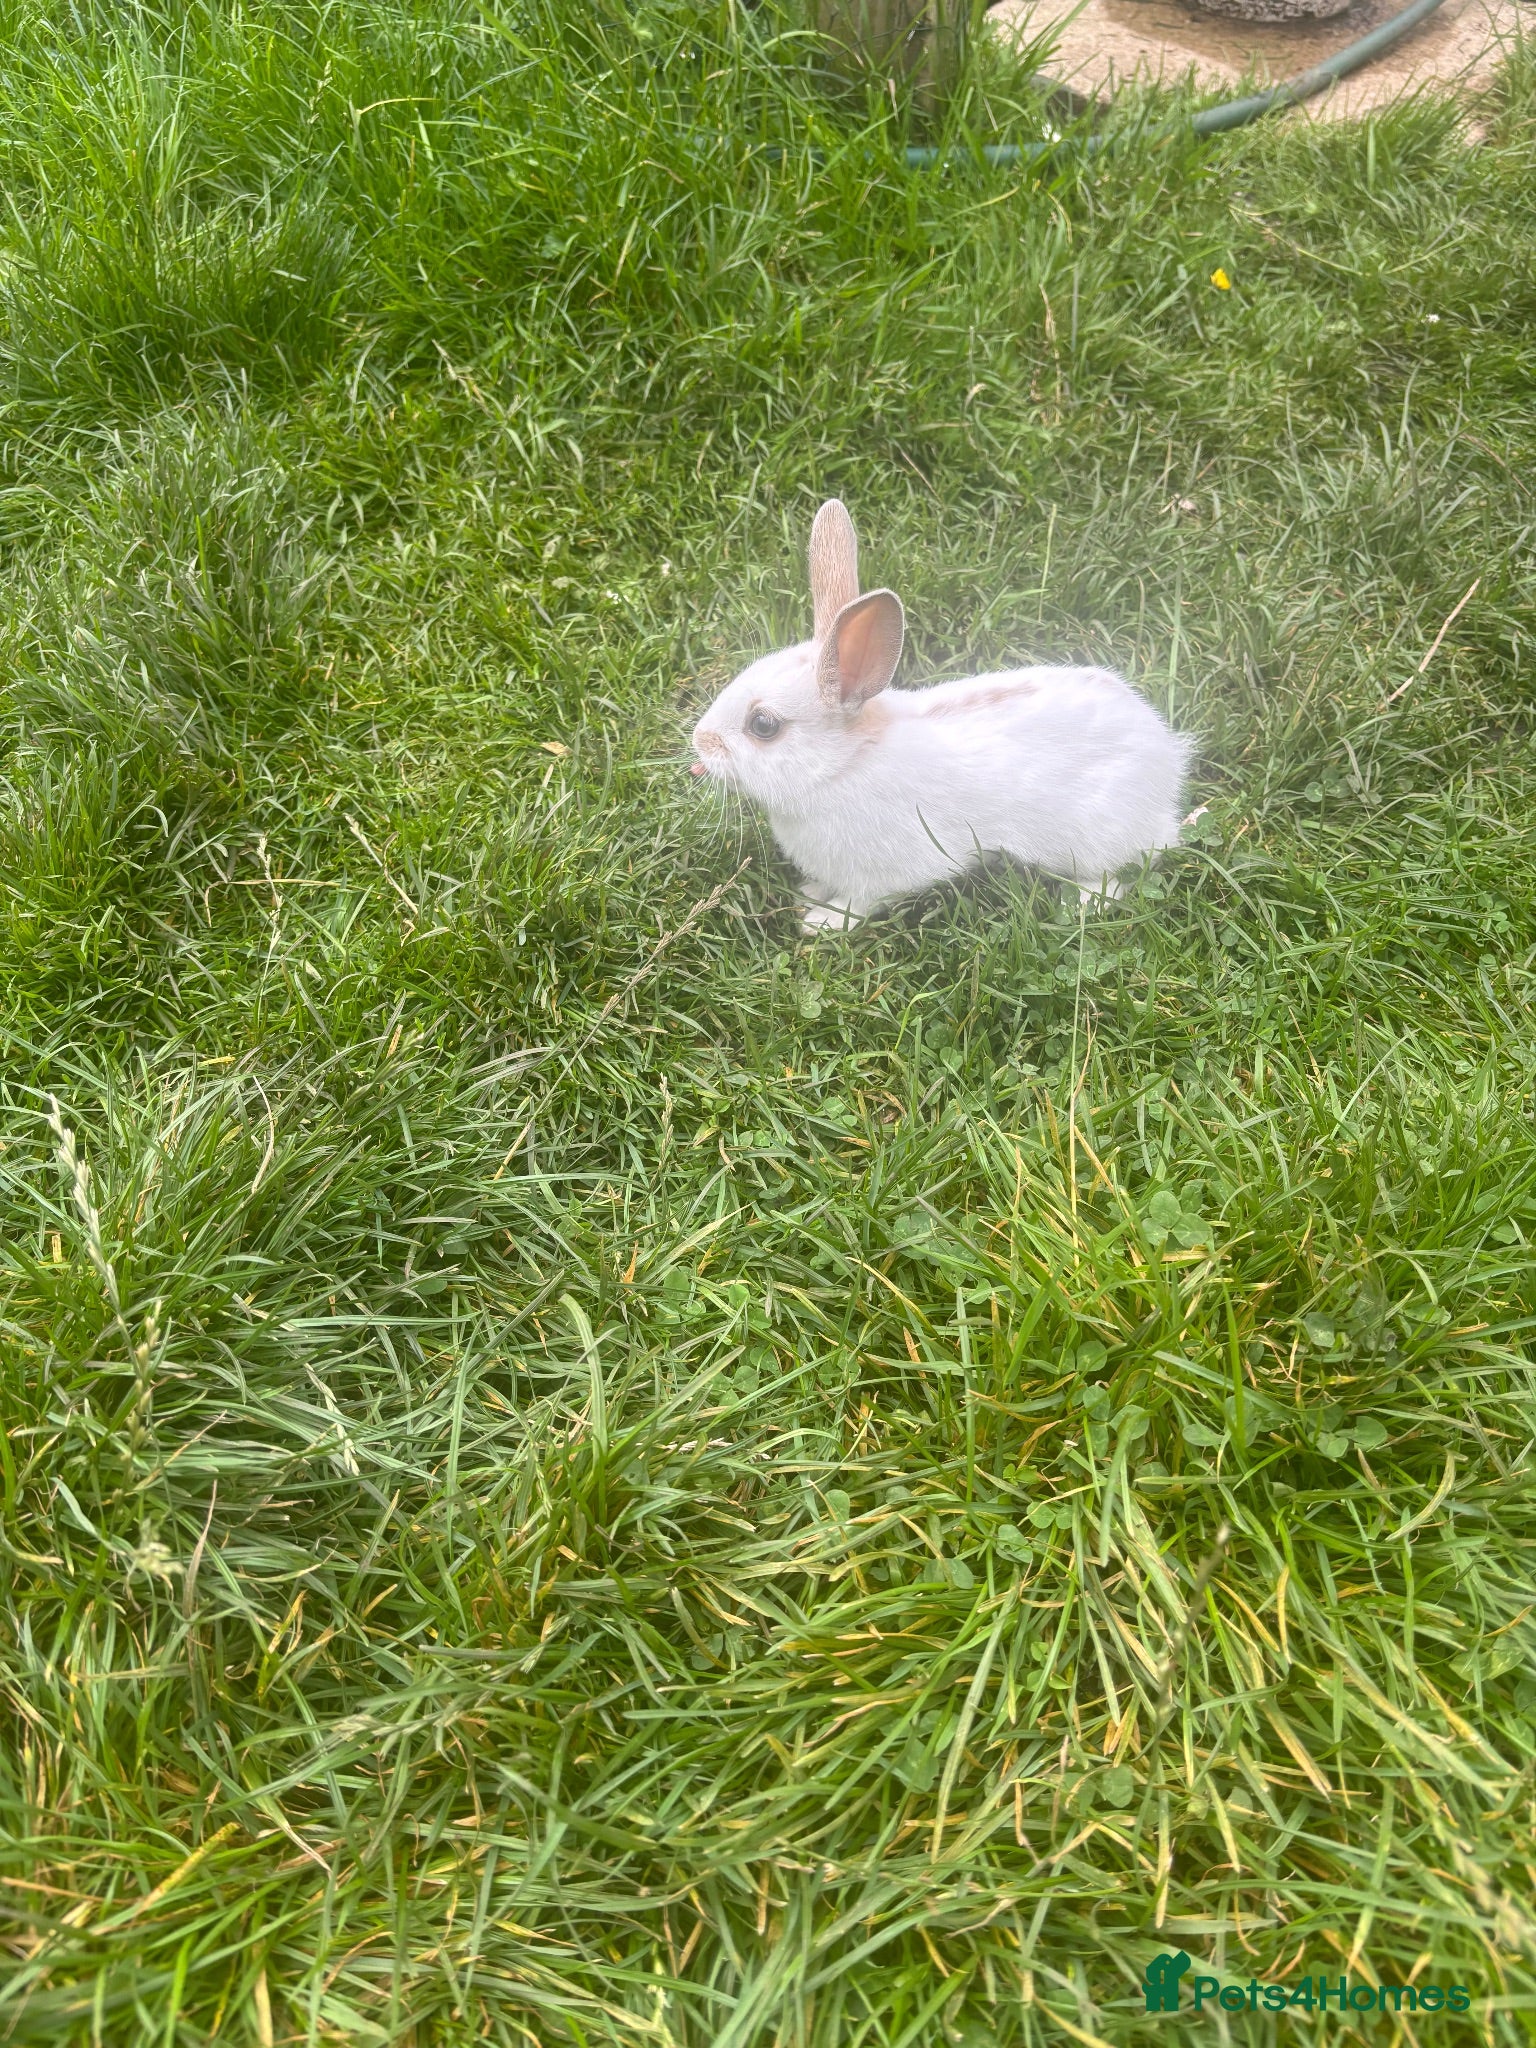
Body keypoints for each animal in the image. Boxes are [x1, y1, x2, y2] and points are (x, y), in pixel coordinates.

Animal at [689, 500, 1191, 931]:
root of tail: (1167, 766)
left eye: (763, 725)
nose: (700, 743)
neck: (841, 766)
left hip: (1090, 842)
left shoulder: (881, 874)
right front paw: (812, 893)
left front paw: (822, 922)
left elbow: (860, 903)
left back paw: (1082, 902)